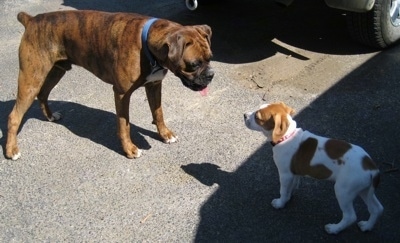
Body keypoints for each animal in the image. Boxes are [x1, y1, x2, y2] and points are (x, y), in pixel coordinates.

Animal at [4, 10, 214, 160]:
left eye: (210, 58)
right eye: (194, 65)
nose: (211, 75)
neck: (146, 43)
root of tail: (32, 19)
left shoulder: (154, 86)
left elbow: (158, 113)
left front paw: (165, 134)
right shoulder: (121, 94)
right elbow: (124, 124)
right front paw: (130, 149)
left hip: (56, 70)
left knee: (43, 93)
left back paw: (49, 116)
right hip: (31, 78)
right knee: (14, 116)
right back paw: (11, 150)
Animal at [244, 102, 384, 234]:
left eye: (257, 117)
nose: (244, 115)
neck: (287, 136)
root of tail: (371, 167)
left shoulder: (285, 174)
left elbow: (283, 190)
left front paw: (280, 203)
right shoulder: (294, 173)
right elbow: (291, 187)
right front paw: (288, 198)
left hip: (344, 190)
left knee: (350, 216)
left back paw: (334, 229)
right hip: (364, 190)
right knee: (377, 208)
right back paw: (367, 226)